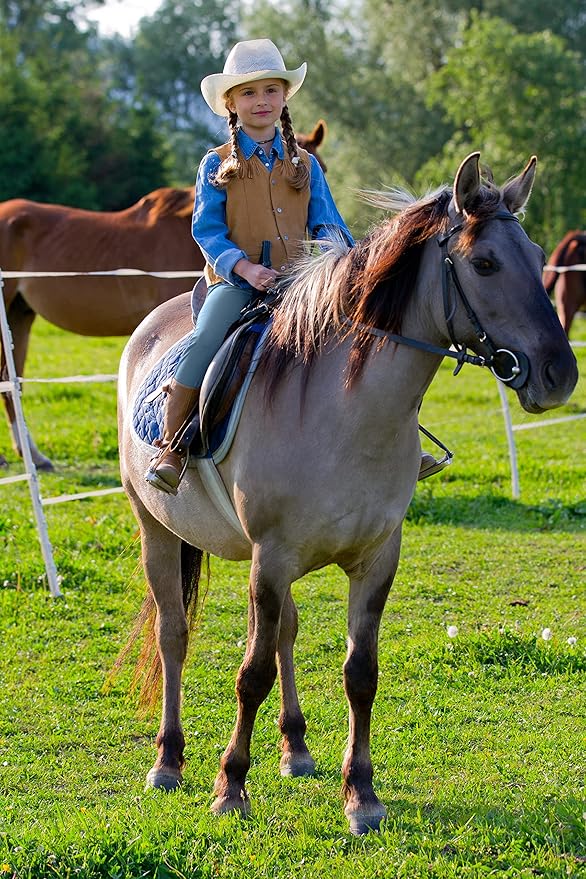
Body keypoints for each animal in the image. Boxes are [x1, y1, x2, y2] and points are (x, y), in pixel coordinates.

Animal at [117, 151, 577, 835]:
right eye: (485, 263)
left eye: (540, 252)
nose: (559, 374)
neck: (345, 412)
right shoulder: (271, 558)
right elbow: (250, 673)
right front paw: (231, 786)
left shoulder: (374, 559)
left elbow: (360, 673)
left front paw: (360, 794)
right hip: (160, 533)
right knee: (175, 634)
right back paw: (169, 760)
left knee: (284, 632)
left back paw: (296, 748)